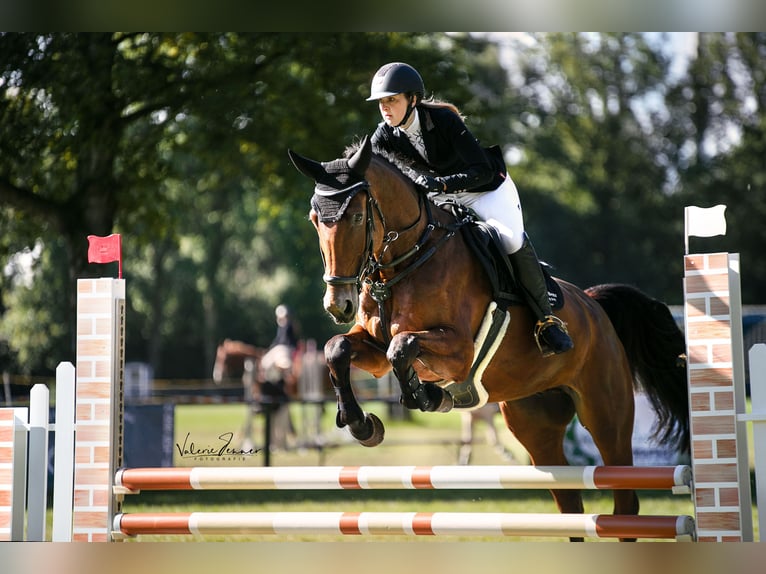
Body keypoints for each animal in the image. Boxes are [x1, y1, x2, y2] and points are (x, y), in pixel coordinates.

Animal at [288, 135, 688, 540]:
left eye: (357, 217)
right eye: (315, 220)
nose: (338, 305)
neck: (407, 259)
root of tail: (594, 306)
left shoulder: (457, 350)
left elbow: (403, 347)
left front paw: (429, 396)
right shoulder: (373, 348)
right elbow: (337, 348)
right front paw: (361, 424)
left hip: (606, 414)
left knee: (624, 499)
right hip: (535, 422)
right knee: (570, 503)